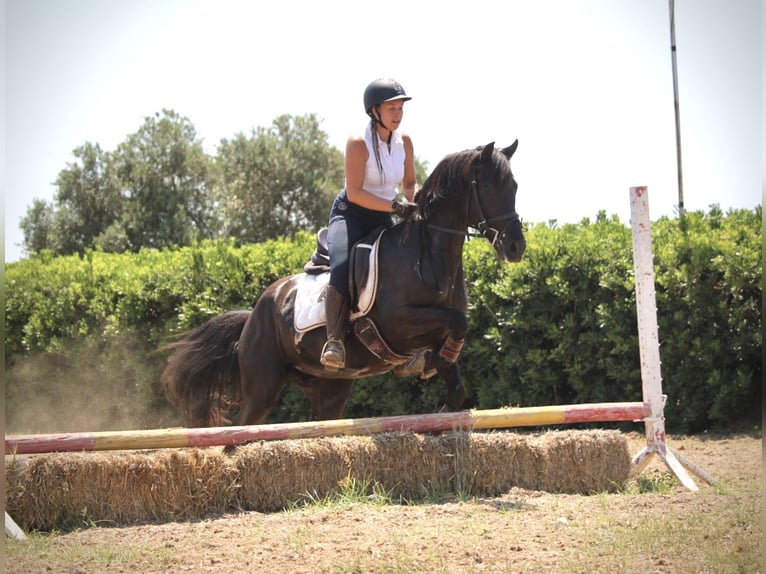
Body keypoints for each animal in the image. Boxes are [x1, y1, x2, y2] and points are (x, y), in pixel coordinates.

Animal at [161, 140, 526, 427]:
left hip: (329, 388)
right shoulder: (396, 322)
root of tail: (254, 313)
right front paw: (426, 363)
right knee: (241, 427)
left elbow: (457, 369)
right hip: (263, 383)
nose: (516, 247)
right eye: (489, 188)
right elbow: (457, 321)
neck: (427, 255)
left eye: (515, 188)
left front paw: (436, 375)